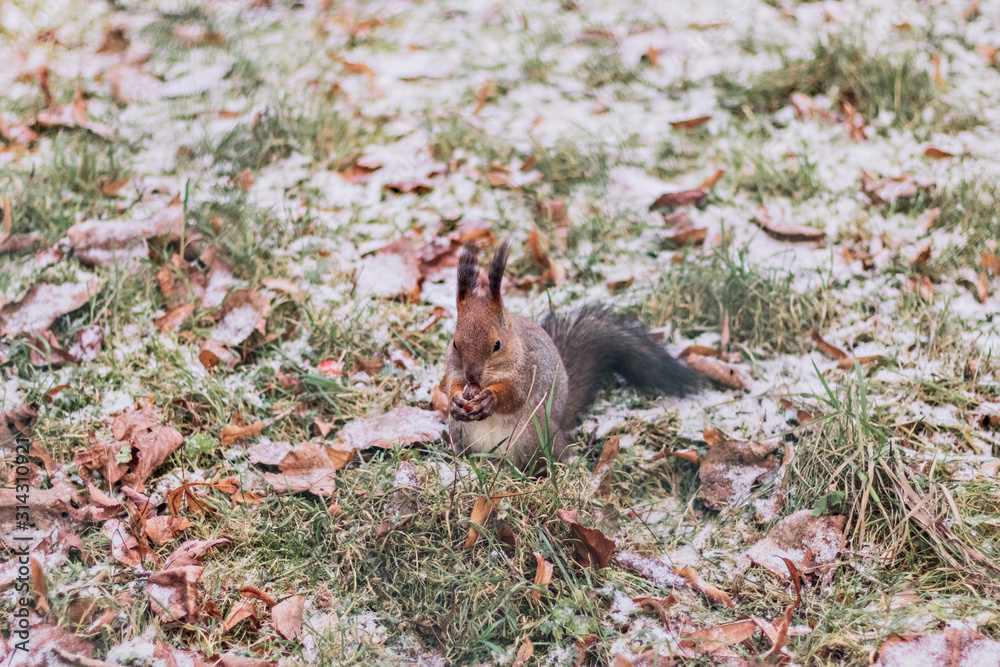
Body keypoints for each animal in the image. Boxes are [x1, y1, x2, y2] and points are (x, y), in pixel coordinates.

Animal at [444, 241, 700, 470]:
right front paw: (456, 400)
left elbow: (515, 395)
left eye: (497, 344)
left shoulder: (529, 370)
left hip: (531, 432)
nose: (472, 376)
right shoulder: (455, 371)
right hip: (460, 432)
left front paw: (490, 398)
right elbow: (451, 384)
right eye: (455, 343)